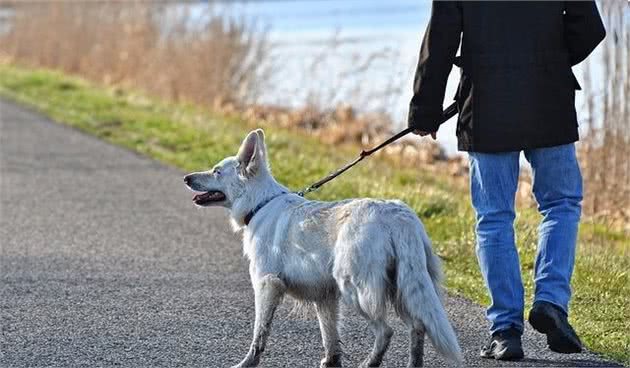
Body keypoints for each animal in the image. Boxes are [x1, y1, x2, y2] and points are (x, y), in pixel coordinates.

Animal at [185, 130, 462, 368]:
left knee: (386, 331)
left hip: (355, 289)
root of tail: (398, 215)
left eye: (216, 171)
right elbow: (330, 337)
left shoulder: (267, 285)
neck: (260, 204)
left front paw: (247, 363)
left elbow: (259, 333)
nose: (186, 178)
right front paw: (331, 362)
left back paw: (370, 363)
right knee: (418, 326)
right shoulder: (324, 297)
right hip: (403, 288)